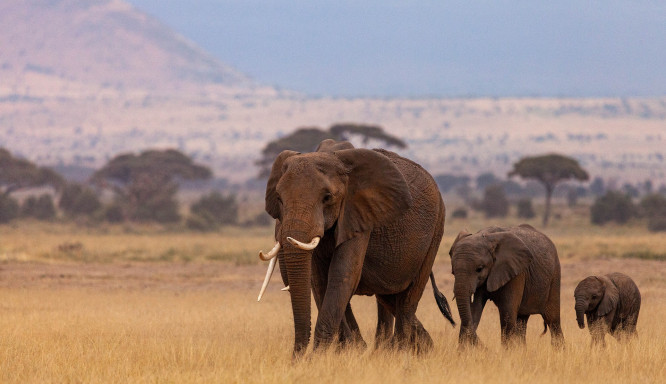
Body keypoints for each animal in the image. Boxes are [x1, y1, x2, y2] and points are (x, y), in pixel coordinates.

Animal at [256, 140, 454, 356]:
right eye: (279, 199)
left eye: (327, 197)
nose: (296, 358)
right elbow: (319, 280)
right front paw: (347, 351)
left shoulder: (359, 214)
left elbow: (343, 275)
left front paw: (319, 357)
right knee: (388, 298)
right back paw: (415, 348)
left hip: (436, 229)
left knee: (408, 300)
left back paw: (401, 352)